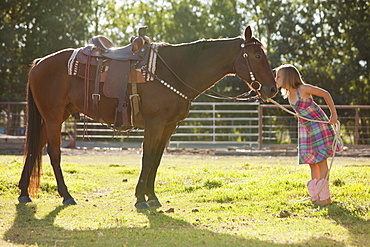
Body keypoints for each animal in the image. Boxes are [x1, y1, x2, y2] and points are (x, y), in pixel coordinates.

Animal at [18, 26, 278, 208]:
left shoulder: (168, 127)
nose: (272, 89)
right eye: (256, 56)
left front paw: (151, 196)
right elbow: (147, 158)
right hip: (53, 118)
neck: (176, 70)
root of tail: (39, 63)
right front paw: (141, 198)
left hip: (54, 117)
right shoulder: (155, 124)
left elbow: (156, 160)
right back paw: (66, 195)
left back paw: (23, 192)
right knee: (53, 152)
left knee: (34, 148)